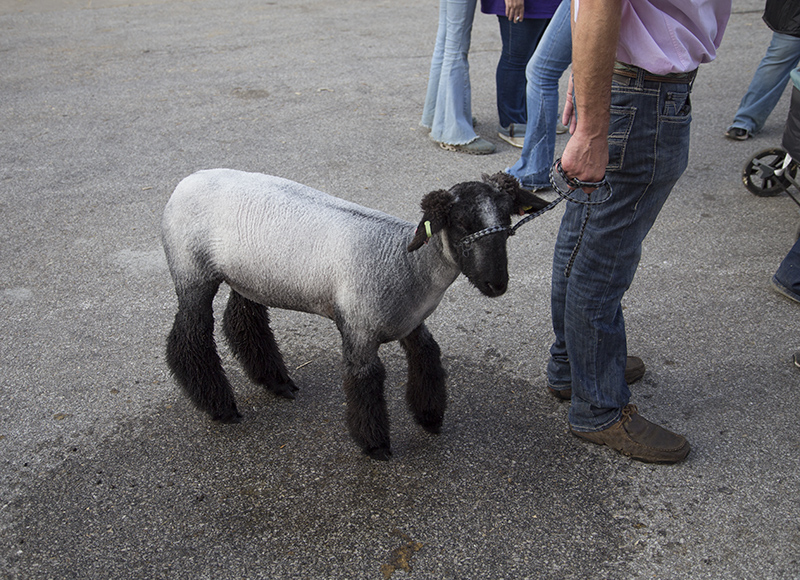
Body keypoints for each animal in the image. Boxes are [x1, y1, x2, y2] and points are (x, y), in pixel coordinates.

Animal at [162, 169, 552, 462]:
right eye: (459, 221)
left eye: (507, 218)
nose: (496, 284)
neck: (406, 262)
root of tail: (187, 180)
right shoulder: (359, 329)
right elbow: (365, 382)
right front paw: (376, 445)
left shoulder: (411, 322)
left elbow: (427, 356)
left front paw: (430, 418)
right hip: (192, 273)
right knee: (191, 335)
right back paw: (220, 405)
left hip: (250, 277)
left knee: (243, 319)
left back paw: (276, 382)